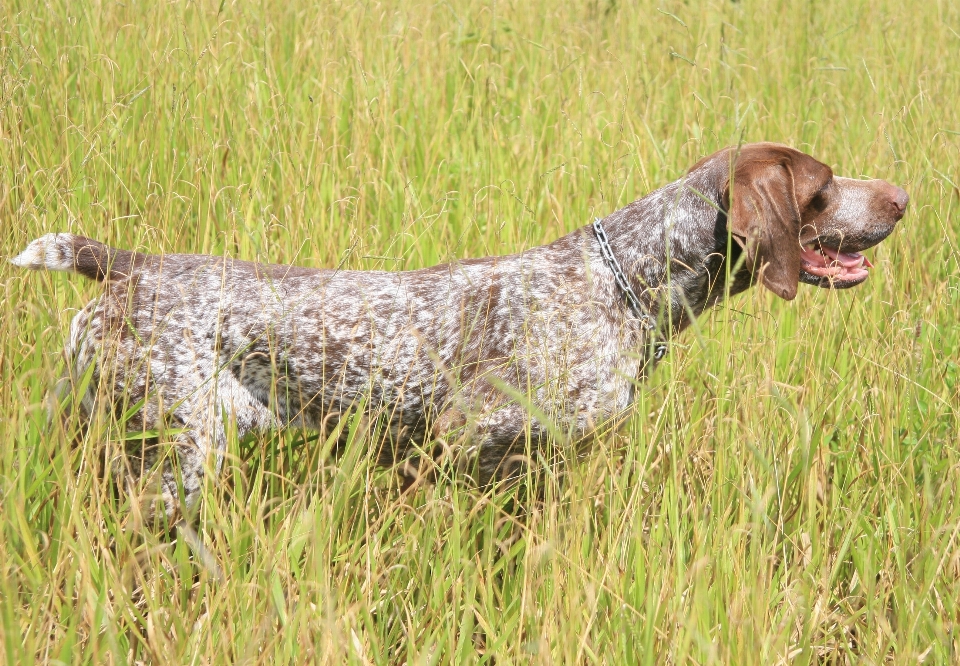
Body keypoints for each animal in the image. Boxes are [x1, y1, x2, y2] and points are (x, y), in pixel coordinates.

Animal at [11, 143, 908, 516]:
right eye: (825, 184)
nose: (903, 198)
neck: (623, 282)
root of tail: (124, 265)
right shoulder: (461, 438)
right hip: (179, 459)